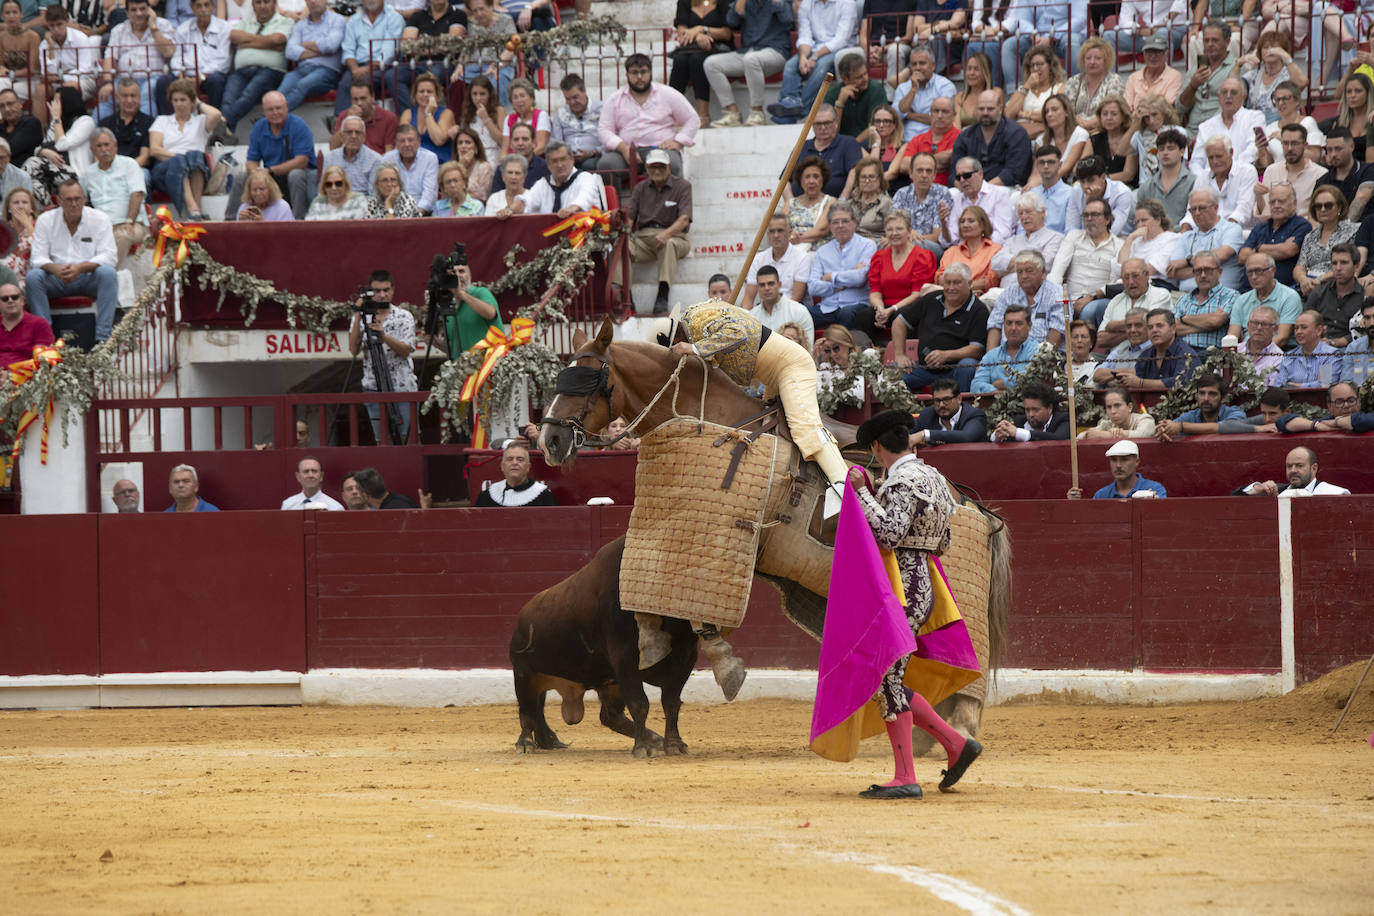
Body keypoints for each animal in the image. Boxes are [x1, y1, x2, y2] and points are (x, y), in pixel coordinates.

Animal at [511, 538, 697, 758]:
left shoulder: (685, 659)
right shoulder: (625, 660)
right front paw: (642, 748)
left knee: (608, 715)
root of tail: (521, 618)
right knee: (528, 711)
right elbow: (640, 704)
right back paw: (525, 743)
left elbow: (671, 703)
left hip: (608, 682)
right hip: (524, 674)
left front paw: (674, 744)